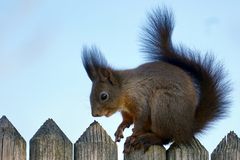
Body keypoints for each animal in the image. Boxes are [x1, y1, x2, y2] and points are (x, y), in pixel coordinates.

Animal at [81, 7, 231, 154]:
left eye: (104, 96)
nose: (95, 114)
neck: (124, 89)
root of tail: (188, 128)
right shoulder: (127, 111)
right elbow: (127, 120)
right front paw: (121, 128)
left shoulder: (140, 98)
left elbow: (141, 119)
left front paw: (133, 135)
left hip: (163, 105)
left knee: (166, 137)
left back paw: (147, 139)